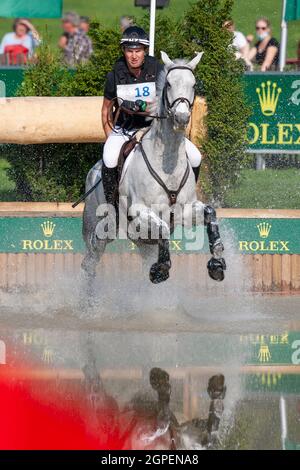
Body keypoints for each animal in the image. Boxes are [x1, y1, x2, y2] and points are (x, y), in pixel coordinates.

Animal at [81, 51, 226, 286]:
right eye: (168, 84)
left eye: (193, 84)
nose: (182, 117)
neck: (168, 162)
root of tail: (93, 172)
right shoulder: (140, 211)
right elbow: (164, 228)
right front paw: (161, 269)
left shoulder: (186, 210)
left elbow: (210, 213)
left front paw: (217, 263)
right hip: (103, 229)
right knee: (90, 262)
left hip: (139, 236)